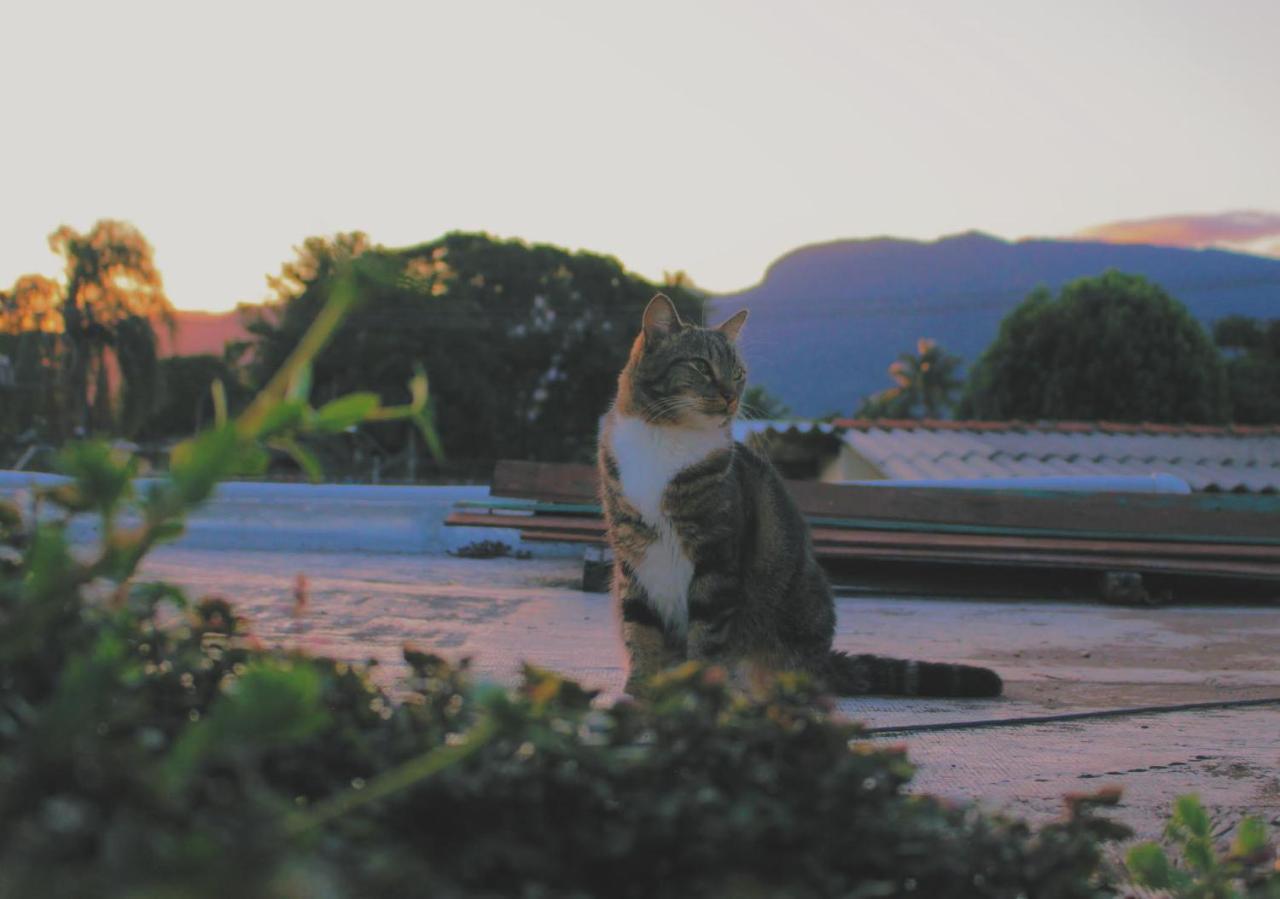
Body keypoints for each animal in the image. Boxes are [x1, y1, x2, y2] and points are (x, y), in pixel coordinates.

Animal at [593, 294, 1003, 696]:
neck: (665, 440)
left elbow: (706, 634)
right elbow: (640, 626)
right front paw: (641, 686)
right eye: (701, 366)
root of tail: (823, 662)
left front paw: (694, 687)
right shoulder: (631, 554)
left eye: (738, 374)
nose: (730, 396)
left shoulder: (717, 558)